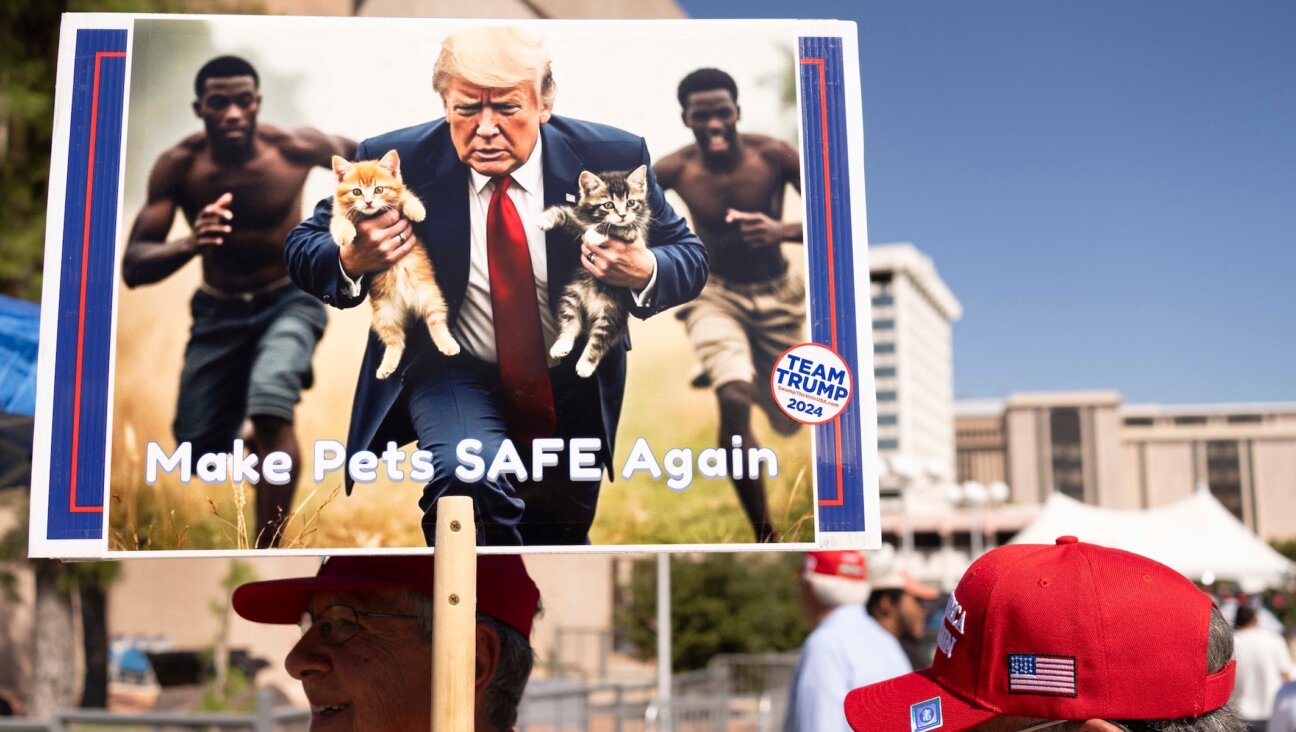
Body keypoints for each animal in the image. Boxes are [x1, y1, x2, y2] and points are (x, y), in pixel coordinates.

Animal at [329, 147, 461, 375]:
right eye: (357, 192)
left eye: (379, 189)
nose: (369, 202)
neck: (370, 215)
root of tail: (407, 304)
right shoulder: (338, 214)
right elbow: (339, 221)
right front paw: (345, 235)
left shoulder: (400, 198)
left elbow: (407, 196)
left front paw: (417, 210)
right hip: (384, 314)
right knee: (395, 341)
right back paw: (387, 366)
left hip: (430, 296)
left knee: (436, 322)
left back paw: (447, 344)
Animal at [536, 164, 648, 375]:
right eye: (608, 205)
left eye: (631, 203)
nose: (622, 214)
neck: (594, 220)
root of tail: (591, 308)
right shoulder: (578, 221)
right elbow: (563, 212)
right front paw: (544, 219)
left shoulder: (635, 233)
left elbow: (618, 228)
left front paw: (597, 234)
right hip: (572, 295)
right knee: (571, 322)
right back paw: (561, 345)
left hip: (612, 312)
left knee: (600, 339)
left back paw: (585, 365)